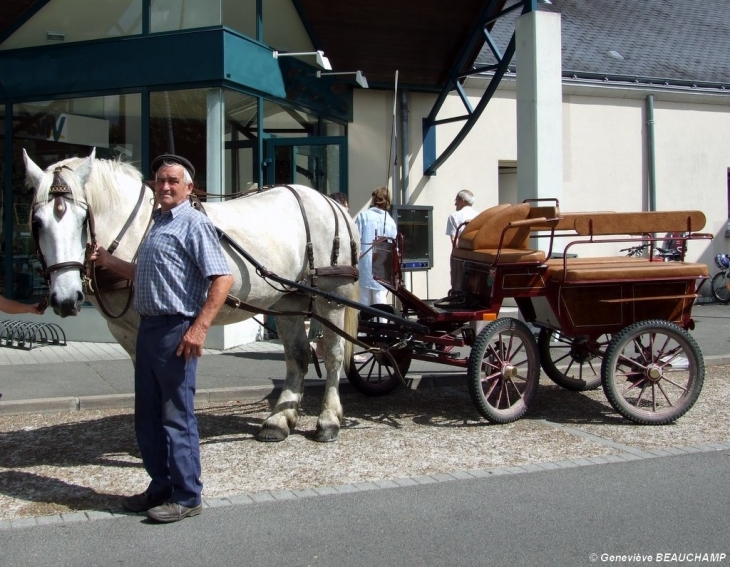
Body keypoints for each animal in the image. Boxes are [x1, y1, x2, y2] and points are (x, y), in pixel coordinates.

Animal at [24, 150, 360, 444]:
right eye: (37, 222)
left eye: (83, 220)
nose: (65, 299)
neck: (138, 232)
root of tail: (329, 201)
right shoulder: (126, 332)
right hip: (290, 297)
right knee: (297, 356)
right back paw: (278, 422)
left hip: (331, 294)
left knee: (333, 354)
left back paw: (328, 420)